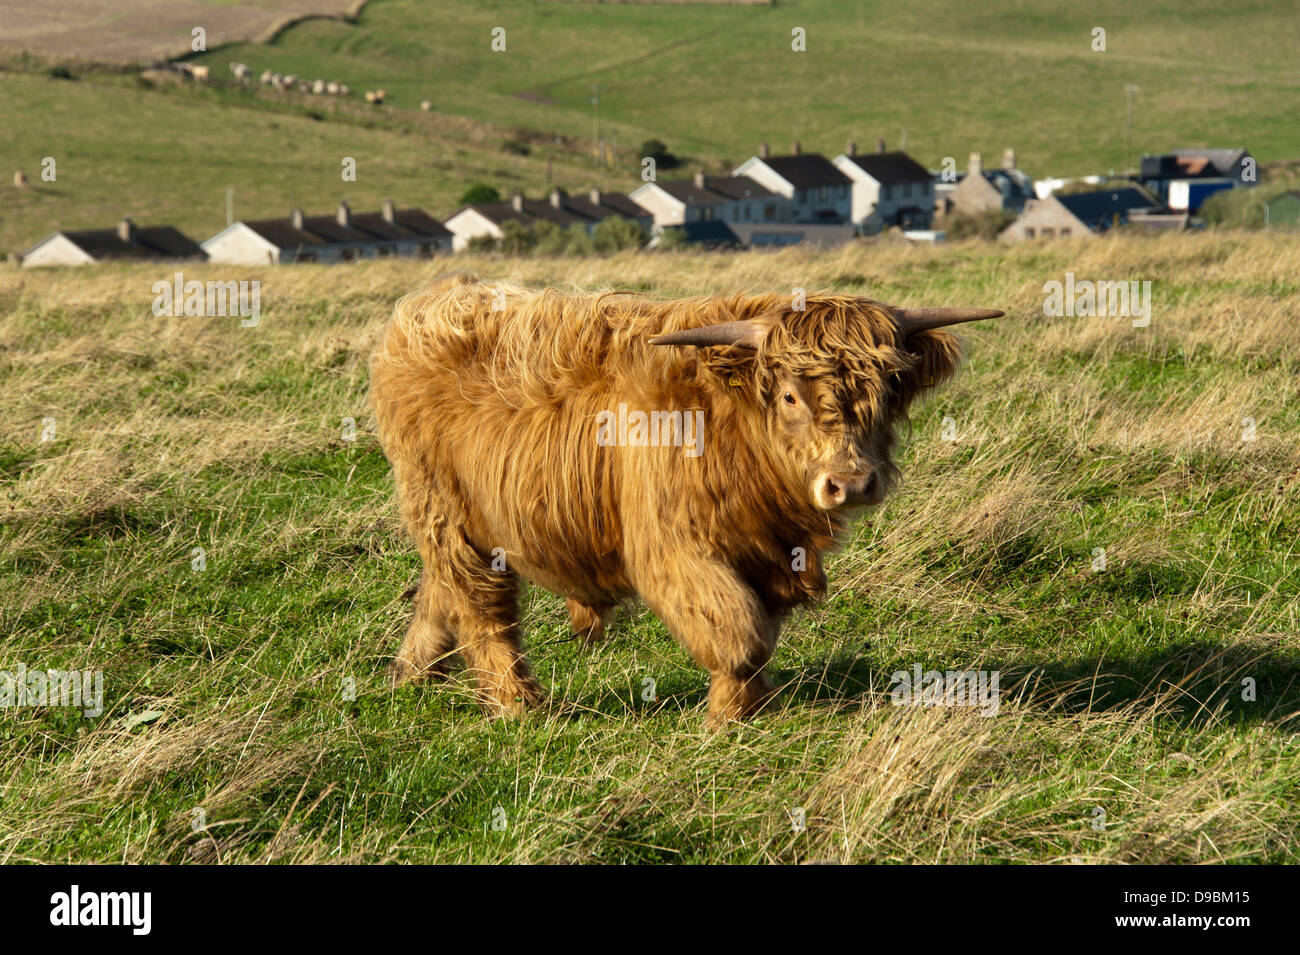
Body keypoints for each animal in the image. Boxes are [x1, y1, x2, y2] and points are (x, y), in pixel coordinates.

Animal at [371, 272, 998, 727]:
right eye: (790, 396)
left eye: (887, 389)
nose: (851, 483)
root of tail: (434, 301)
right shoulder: (674, 548)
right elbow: (737, 632)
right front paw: (726, 718)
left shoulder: (768, 553)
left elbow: (759, 630)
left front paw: (747, 707)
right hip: (445, 509)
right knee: (482, 606)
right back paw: (519, 705)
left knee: (442, 589)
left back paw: (412, 672)